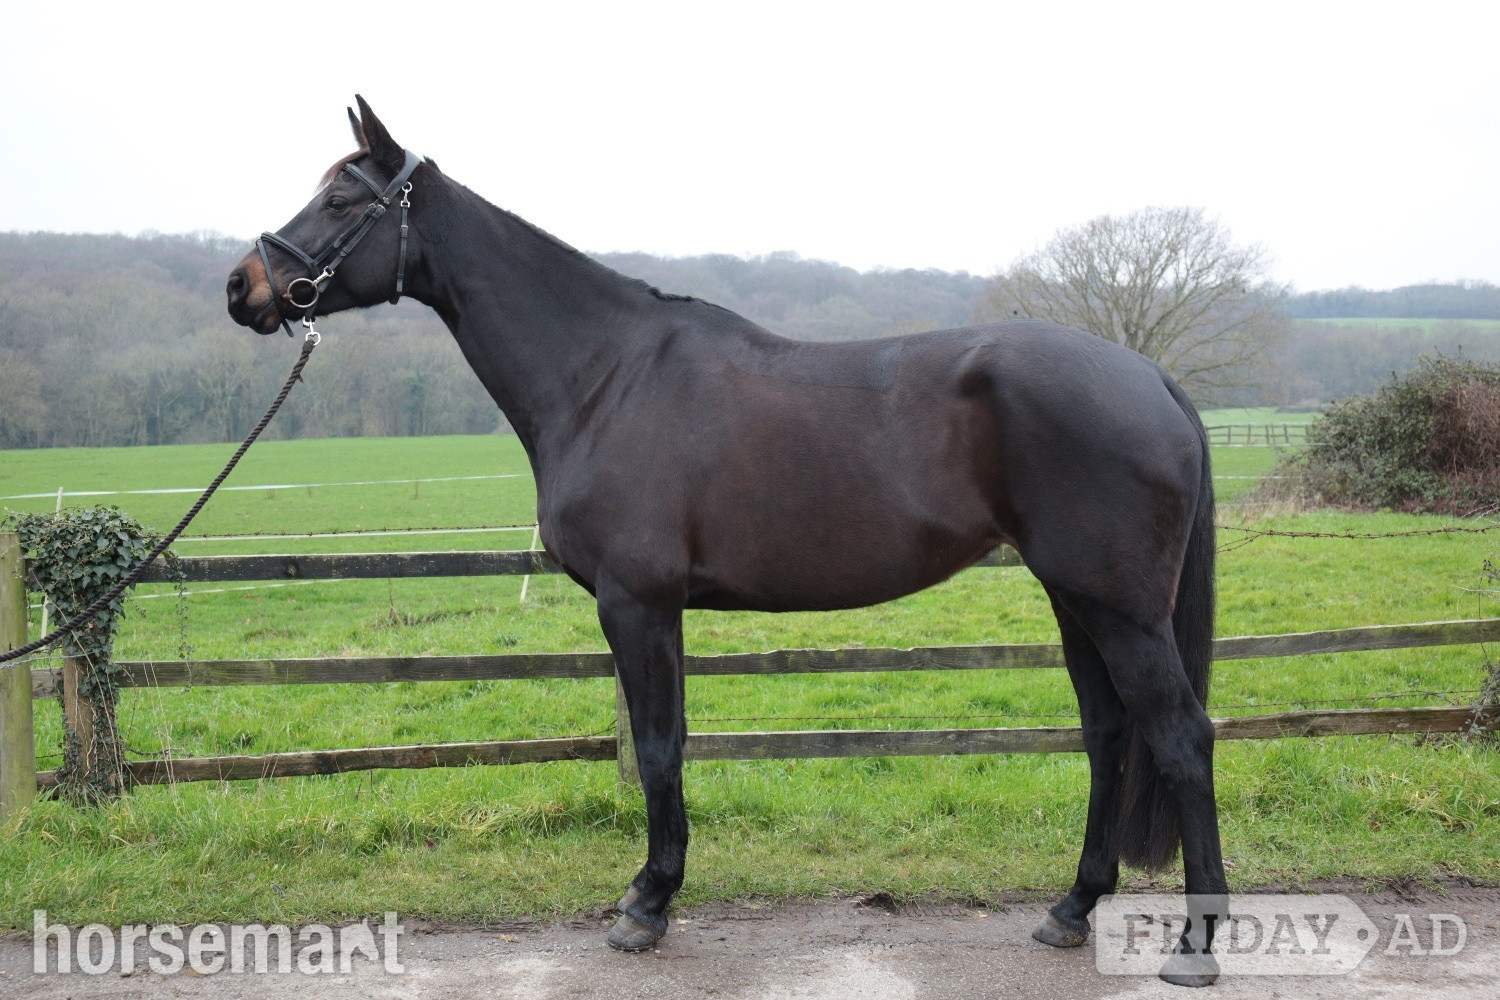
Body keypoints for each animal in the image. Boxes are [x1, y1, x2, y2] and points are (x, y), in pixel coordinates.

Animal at [227, 97, 1227, 986]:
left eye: (344, 199)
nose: (245, 286)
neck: (605, 376)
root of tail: (1151, 377)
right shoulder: (659, 610)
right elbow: (670, 742)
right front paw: (654, 895)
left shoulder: (636, 604)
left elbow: (658, 748)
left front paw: (646, 906)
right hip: (1076, 601)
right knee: (1108, 733)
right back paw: (1071, 909)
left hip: (1121, 611)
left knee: (1180, 736)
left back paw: (1196, 944)